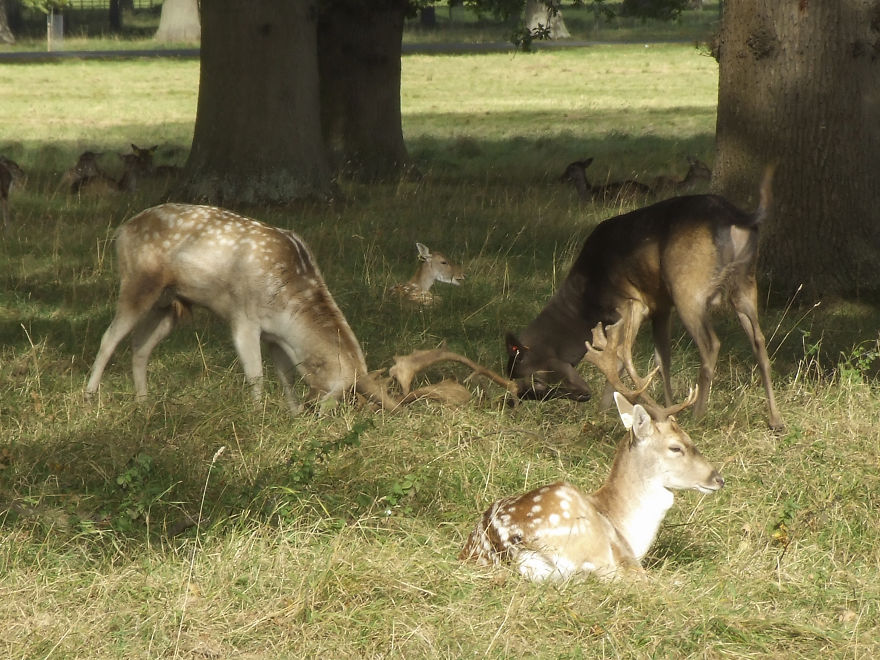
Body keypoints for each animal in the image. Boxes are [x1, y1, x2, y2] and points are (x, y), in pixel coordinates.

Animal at [85, 204, 514, 413]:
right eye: (338, 393)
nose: (316, 415)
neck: (289, 302)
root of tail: (120, 230)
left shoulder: (277, 336)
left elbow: (286, 375)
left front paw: (290, 413)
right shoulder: (243, 318)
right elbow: (256, 374)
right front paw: (259, 416)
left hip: (173, 304)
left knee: (140, 346)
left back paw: (143, 404)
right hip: (139, 282)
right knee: (109, 337)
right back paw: (89, 397)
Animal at [460, 319, 724, 582]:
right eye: (676, 447)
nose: (718, 478)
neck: (626, 527)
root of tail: (504, 545)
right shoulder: (625, 558)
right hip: (589, 545)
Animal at [507, 164, 783, 429]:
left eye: (534, 378)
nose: (512, 401)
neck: (587, 294)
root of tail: (738, 216)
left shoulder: (630, 303)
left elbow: (620, 358)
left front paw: (605, 411)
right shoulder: (661, 306)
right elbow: (662, 360)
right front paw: (667, 409)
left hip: (688, 287)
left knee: (711, 344)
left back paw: (698, 417)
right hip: (745, 282)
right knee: (759, 340)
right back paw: (776, 420)